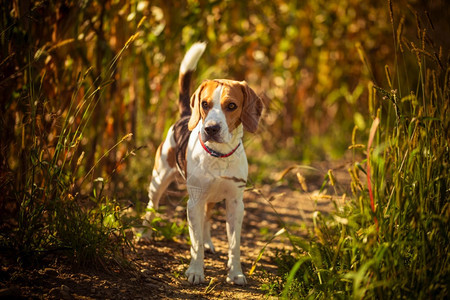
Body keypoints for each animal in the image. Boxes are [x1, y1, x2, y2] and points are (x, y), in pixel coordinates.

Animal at [138, 42, 264, 286]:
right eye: (205, 104)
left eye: (231, 105)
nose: (210, 128)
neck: (219, 156)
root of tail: (186, 114)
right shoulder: (194, 201)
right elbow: (194, 243)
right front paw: (195, 271)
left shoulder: (235, 203)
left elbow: (234, 245)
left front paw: (235, 273)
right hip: (158, 181)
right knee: (151, 206)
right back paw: (145, 234)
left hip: (211, 197)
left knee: (206, 219)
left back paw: (208, 242)